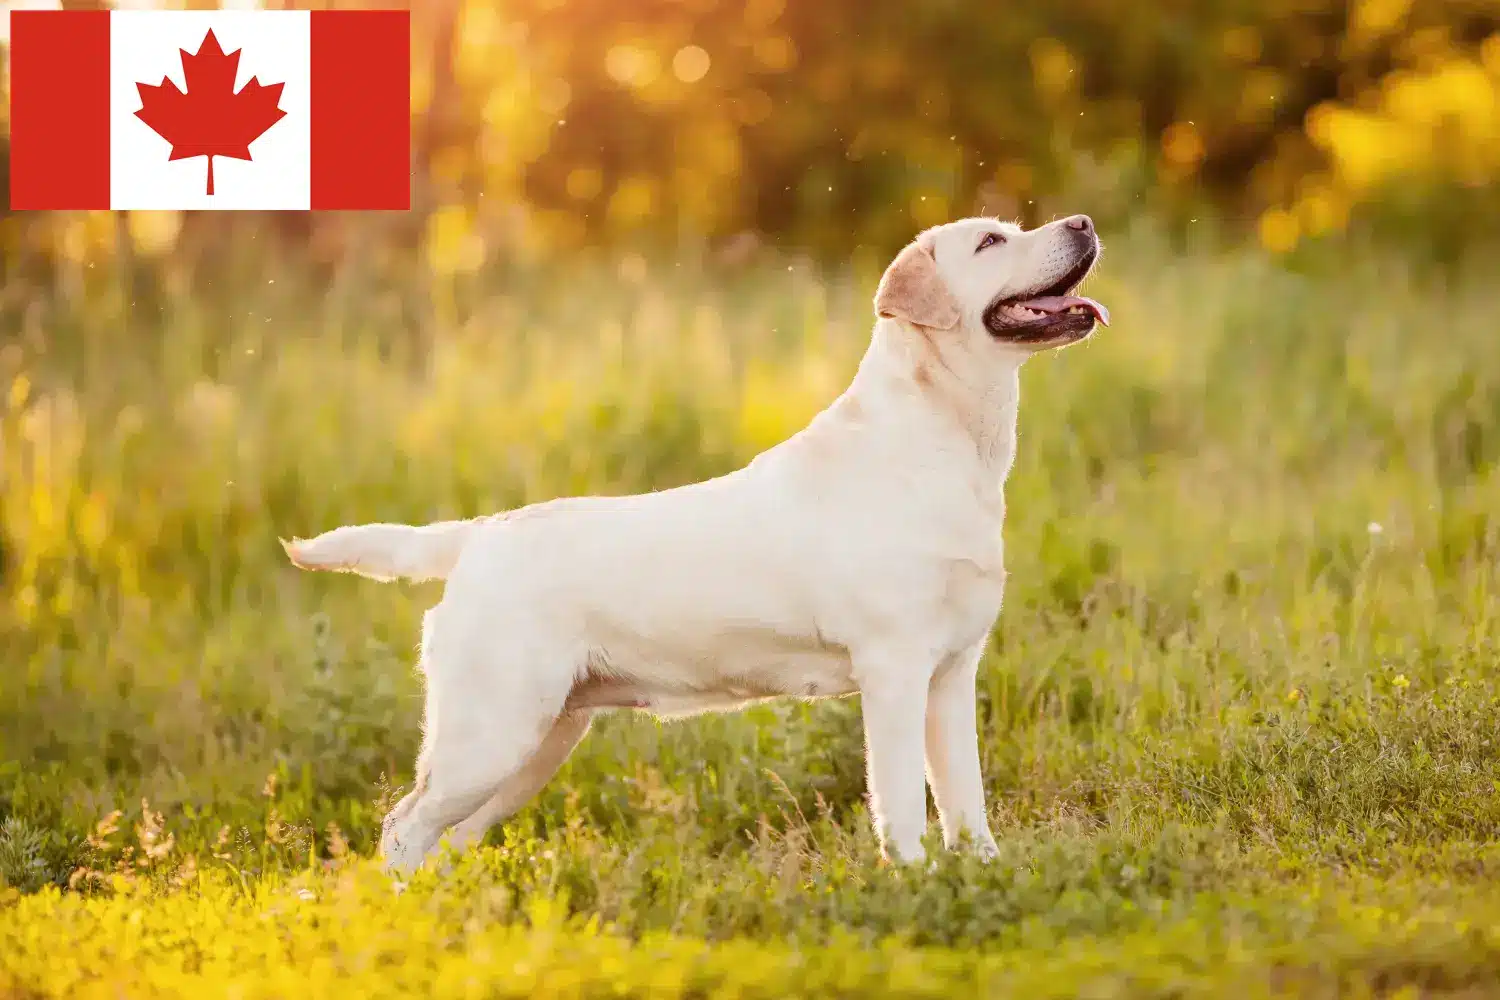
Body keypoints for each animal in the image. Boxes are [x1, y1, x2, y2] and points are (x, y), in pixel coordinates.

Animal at [283, 215, 1104, 869]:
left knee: (444, 837)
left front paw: (985, 876)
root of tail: (478, 537)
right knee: (403, 826)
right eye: (991, 242)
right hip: (491, 734)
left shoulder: (952, 676)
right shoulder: (895, 671)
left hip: (537, 741)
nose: (1084, 222)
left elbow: (967, 803)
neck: (948, 440)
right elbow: (903, 805)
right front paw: (914, 884)